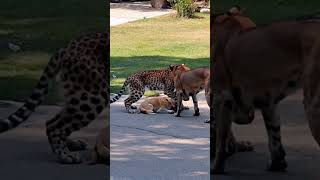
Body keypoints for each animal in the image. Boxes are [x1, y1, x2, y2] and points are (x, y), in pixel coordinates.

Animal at [0, 31, 109, 165]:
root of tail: (67, 46)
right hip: (94, 95)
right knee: (54, 126)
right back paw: (65, 155)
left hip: (76, 95)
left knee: (56, 121)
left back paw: (71, 145)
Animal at [211, 6, 320, 174]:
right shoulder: (268, 102)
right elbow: (274, 135)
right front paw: (277, 164)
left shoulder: (222, 99)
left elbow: (221, 139)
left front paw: (216, 168)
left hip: (313, 108)